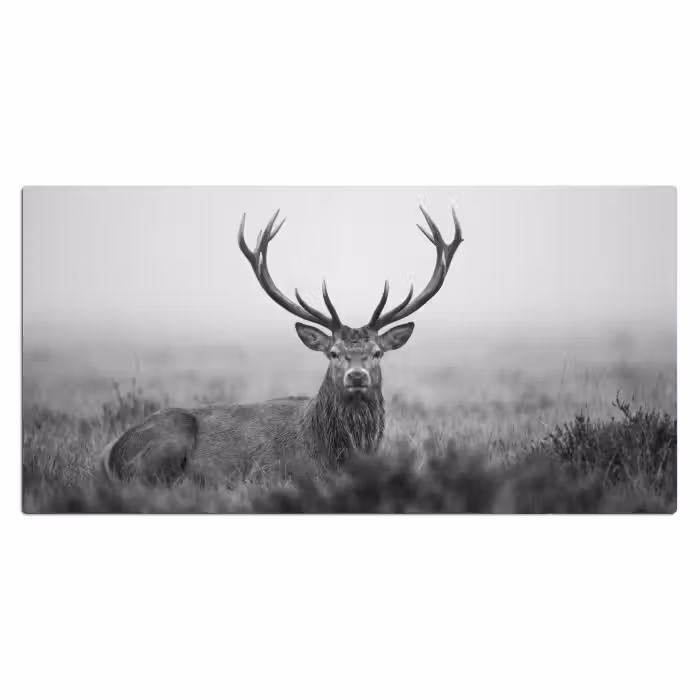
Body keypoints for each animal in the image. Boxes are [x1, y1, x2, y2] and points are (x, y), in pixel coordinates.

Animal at [100, 206, 462, 485]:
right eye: (333, 353)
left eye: (377, 353)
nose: (357, 376)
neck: (335, 451)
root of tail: (111, 454)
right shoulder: (272, 471)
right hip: (167, 443)